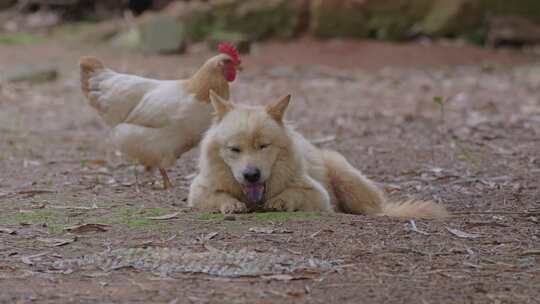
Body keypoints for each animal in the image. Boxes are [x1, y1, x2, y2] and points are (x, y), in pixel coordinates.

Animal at [188, 91, 450, 218]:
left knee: (374, 209)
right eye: (235, 149)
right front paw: (231, 204)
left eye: (263, 146)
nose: (252, 175)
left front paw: (279, 201)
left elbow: (294, 193)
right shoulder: (197, 191)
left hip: (344, 177)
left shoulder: (318, 195)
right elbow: (217, 196)